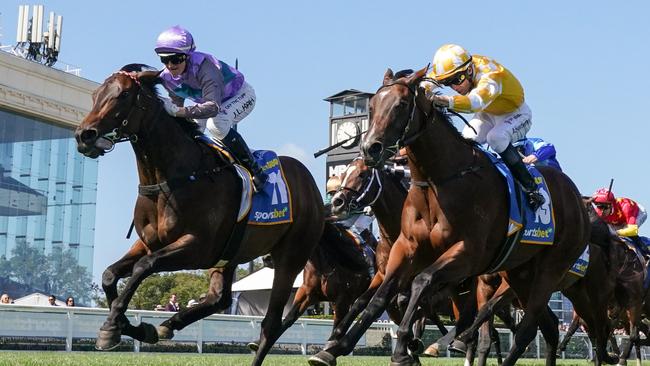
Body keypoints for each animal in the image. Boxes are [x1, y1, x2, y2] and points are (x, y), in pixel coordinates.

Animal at [74, 65, 322, 366]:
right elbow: (110, 275)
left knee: (271, 323)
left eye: (122, 95)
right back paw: (168, 325)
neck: (172, 178)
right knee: (220, 299)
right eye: (95, 94)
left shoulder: (198, 247)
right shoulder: (148, 242)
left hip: (290, 258)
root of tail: (311, 186)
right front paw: (133, 327)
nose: (84, 135)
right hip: (230, 254)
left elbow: (143, 267)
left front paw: (111, 329)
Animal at [308, 67, 592, 366]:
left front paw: (405, 348)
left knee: (525, 328)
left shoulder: (467, 254)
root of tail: (577, 198)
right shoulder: (405, 249)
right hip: (520, 273)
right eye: (372, 106)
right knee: (547, 325)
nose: (370, 148)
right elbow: (378, 298)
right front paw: (334, 347)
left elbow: (421, 284)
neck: (440, 181)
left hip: (549, 271)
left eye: (401, 105)